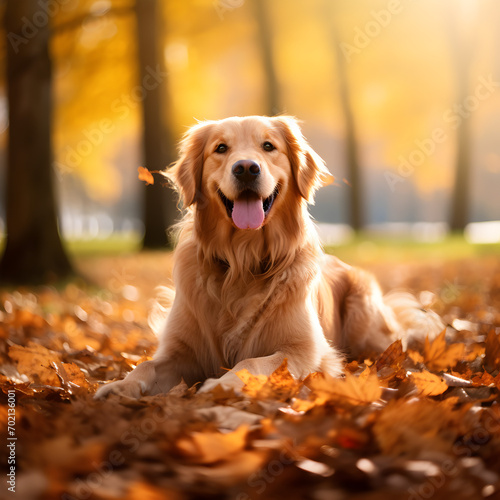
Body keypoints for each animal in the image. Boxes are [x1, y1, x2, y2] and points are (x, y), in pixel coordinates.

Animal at [94, 114, 442, 398]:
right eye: (221, 148)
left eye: (268, 146)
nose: (246, 168)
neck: (242, 262)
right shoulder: (181, 352)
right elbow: (146, 365)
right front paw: (119, 386)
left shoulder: (305, 350)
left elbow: (251, 362)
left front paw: (222, 384)